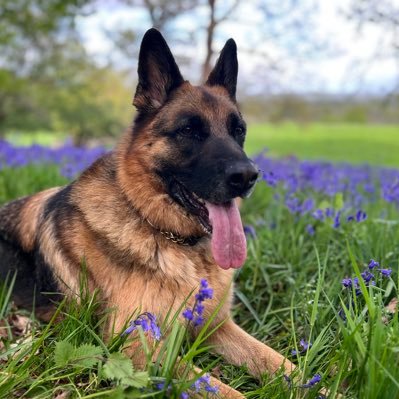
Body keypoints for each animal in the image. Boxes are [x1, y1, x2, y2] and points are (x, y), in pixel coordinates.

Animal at [0, 29, 294, 398]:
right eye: (188, 131)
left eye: (238, 130)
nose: (248, 176)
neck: (164, 233)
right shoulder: (139, 348)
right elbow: (225, 391)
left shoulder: (216, 327)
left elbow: (284, 364)